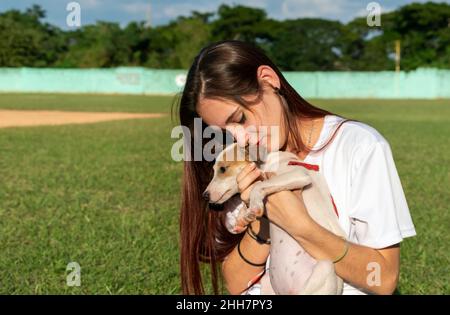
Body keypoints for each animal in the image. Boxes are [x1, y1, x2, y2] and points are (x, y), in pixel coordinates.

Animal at [204, 144, 348, 296]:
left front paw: (254, 206)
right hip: (267, 280)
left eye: (223, 169)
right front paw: (242, 218)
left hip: (324, 268)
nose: (204, 196)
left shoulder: (298, 175)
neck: (268, 162)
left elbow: (258, 185)